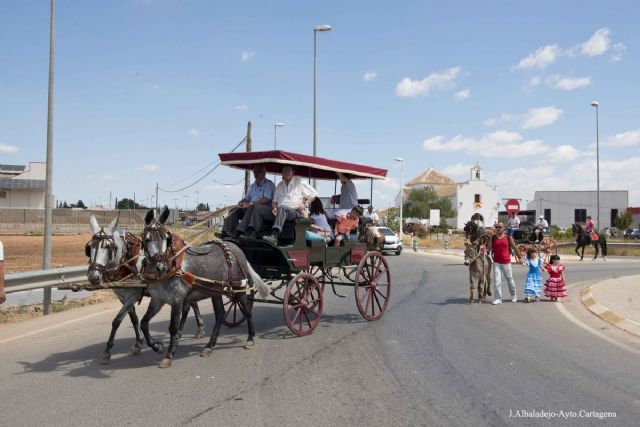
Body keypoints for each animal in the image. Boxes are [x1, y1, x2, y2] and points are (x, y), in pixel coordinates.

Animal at [85, 214, 205, 364]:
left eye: (108, 247)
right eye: (89, 247)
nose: (93, 276)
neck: (127, 262)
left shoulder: (133, 296)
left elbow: (116, 321)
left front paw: (107, 351)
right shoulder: (122, 297)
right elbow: (134, 319)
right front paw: (137, 344)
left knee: (189, 306)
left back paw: (195, 330)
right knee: (191, 304)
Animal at [140, 207, 270, 368]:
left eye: (166, 238)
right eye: (147, 239)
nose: (161, 266)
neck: (173, 266)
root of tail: (237, 249)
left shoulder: (177, 301)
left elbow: (173, 328)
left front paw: (169, 355)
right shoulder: (158, 300)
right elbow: (144, 323)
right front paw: (156, 346)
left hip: (237, 289)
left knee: (247, 311)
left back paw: (250, 338)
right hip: (216, 291)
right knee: (220, 314)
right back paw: (209, 346)